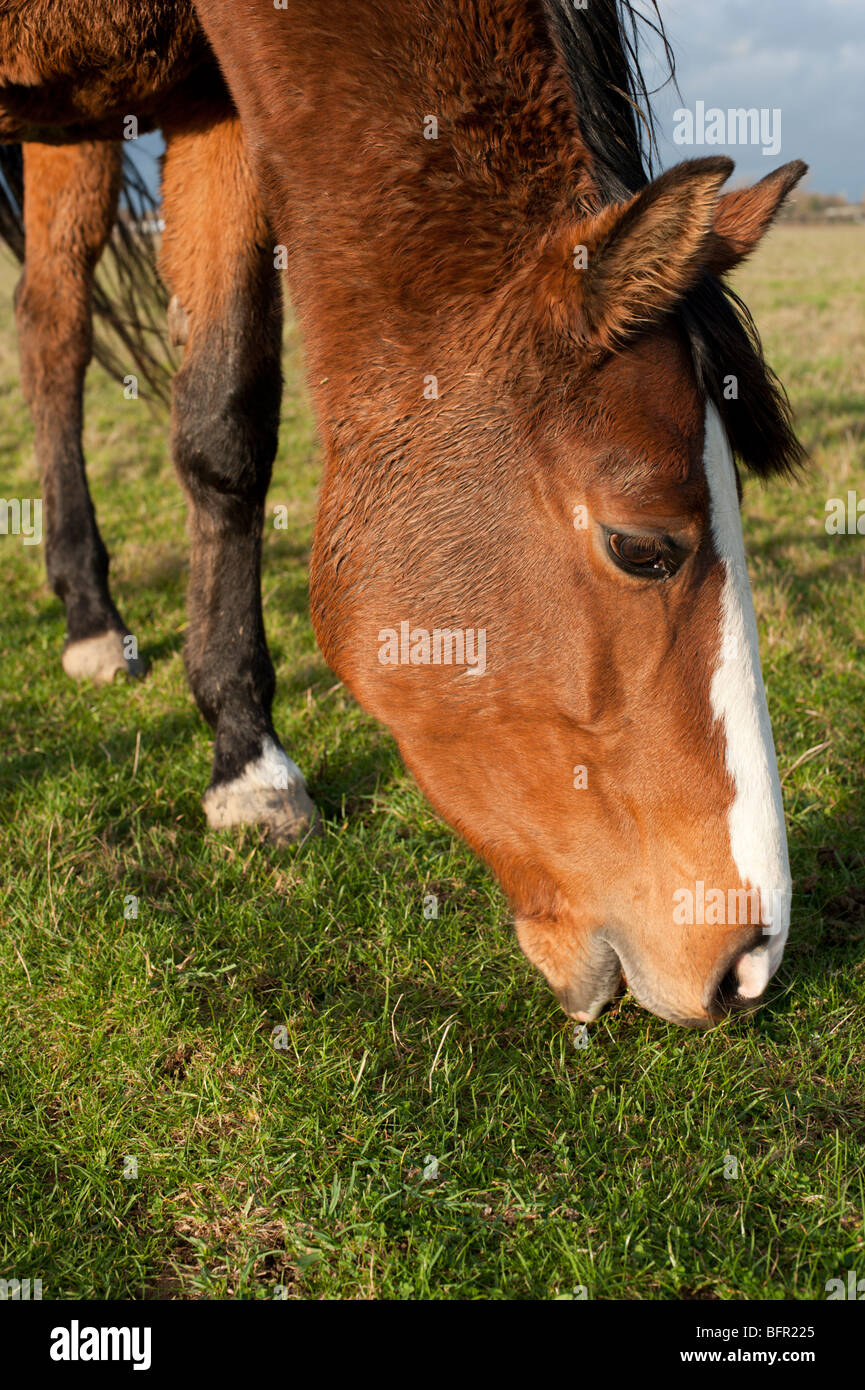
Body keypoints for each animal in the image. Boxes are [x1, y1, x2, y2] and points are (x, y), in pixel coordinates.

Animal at [1, 0, 812, 1023]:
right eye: (640, 548)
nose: (750, 960)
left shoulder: (208, 103)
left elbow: (225, 423)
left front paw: (244, 756)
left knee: (50, 323)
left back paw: (89, 611)